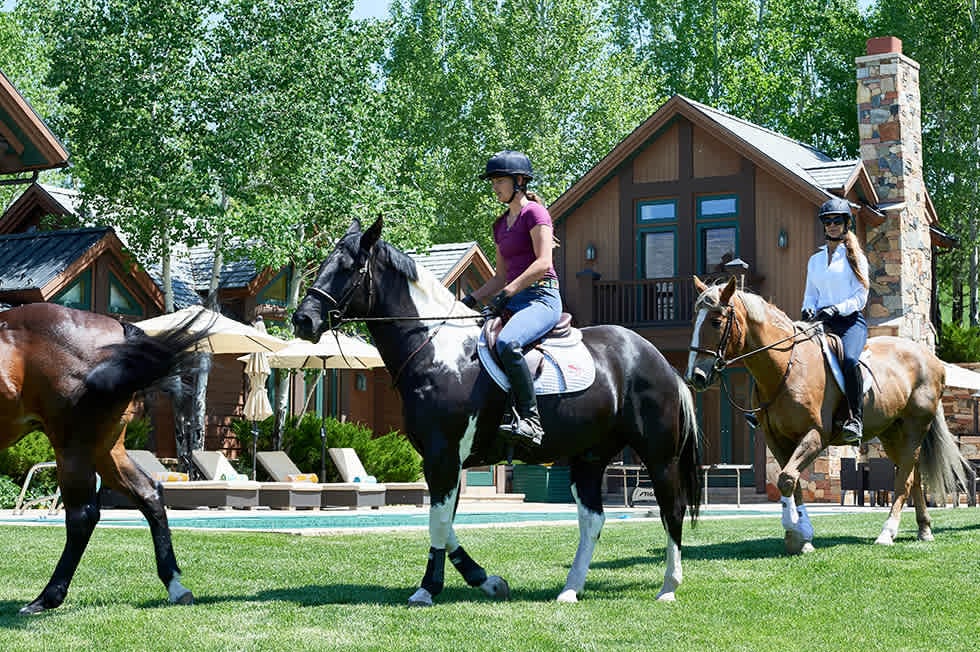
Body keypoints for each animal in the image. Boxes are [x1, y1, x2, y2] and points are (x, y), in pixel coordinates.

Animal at [0, 304, 207, 612]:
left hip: (73, 448)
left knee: (82, 516)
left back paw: (46, 598)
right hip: (106, 450)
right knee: (149, 494)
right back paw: (174, 584)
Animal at [292, 219, 704, 608]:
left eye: (347, 267)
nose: (302, 320)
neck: (436, 352)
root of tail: (659, 361)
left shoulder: (444, 456)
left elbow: (438, 523)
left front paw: (428, 588)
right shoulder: (444, 460)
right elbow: (444, 523)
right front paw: (485, 580)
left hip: (659, 457)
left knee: (672, 510)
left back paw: (668, 587)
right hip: (589, 457)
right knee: (592, 519)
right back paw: (570, 589)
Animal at [684, 278, 968, 552]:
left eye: (716, 321)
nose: (695, 376)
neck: (786, 368)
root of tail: (931, 359)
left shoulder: (815, 436)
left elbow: (787, 478)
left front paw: (794, 532)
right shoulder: (777, 440)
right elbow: (793, 481)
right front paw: (802, 536)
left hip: (913, 428)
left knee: (905, 479)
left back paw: (887, 533)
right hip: (892, 432)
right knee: (913, 476)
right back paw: (924, 529)